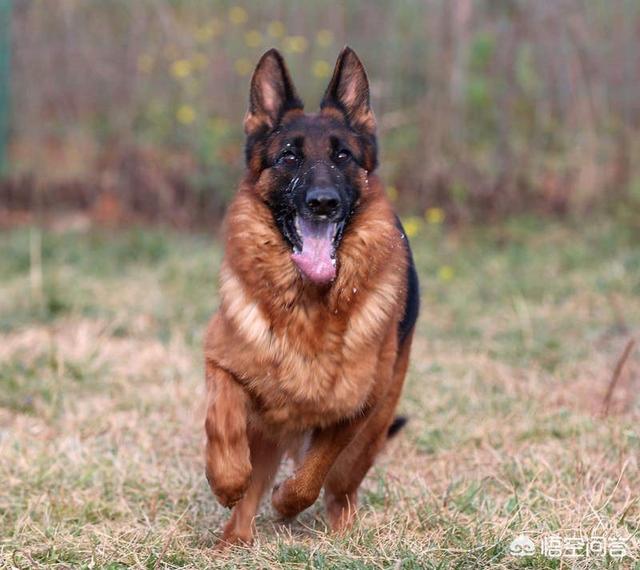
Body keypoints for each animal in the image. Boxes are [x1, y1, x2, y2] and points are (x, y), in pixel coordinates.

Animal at [204, 46, 420, 544]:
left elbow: (313, 472)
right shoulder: (219, 362)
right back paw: (232, 541)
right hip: (266, 432)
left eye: (342, 155)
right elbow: (221, 420)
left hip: (369, 438)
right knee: (249, 497)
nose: (322, 202)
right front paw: (226, 480)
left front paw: (287, 501)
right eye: (288, 156)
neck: (308, 305)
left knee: (341, 490)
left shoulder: (357, 407)